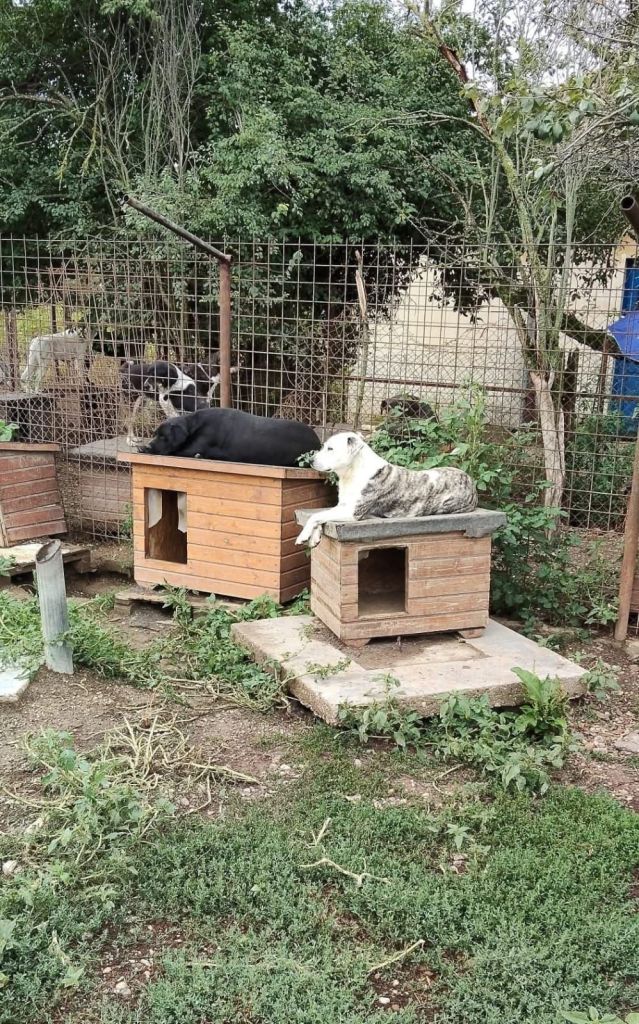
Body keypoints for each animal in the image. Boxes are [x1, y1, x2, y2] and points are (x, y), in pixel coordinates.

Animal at [139, 407, 321, 467]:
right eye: (155, 434)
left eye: (163, 437)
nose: (147, 446)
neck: (194, 425)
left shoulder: (197, 445)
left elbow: (178, 451)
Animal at [296, 431, 478, 548]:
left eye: (330, 449)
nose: (310, 460)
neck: (353, 472)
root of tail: (470, 480)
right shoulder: (342, 506)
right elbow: (320, 515)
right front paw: (314, 538)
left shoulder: (353, 512)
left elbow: (317, 516)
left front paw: (303, 536)